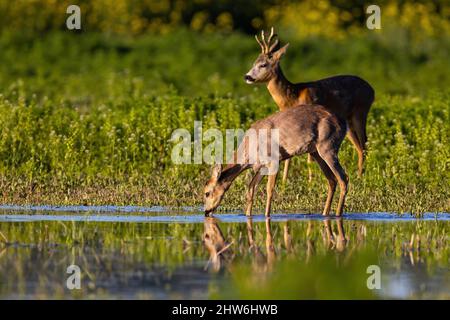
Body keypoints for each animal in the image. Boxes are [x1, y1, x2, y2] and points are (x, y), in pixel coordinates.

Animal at [204, 104, 348, 216]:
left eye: (207, 193)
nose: (206, 212)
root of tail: (343, 124)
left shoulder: (274, 161)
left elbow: (269, 189)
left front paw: (267, 215)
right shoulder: (262, 167)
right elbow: (251, 188)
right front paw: (247, 215)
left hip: (328, 148)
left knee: (343, 178)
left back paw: (338, 214)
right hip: (316, 153)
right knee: (332, 180)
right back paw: (325, 214)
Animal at [244, 28, 374, 185]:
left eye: (263, 64)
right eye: (254, 62)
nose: (247, 77)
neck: (292, 97)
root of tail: (372, 90)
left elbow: (309, 158)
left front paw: (310, 182)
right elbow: (289, 158)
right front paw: (284, 183)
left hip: (360, 112)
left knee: (364, 144)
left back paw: (361, 178)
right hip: (348, 121)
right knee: (359, 147)